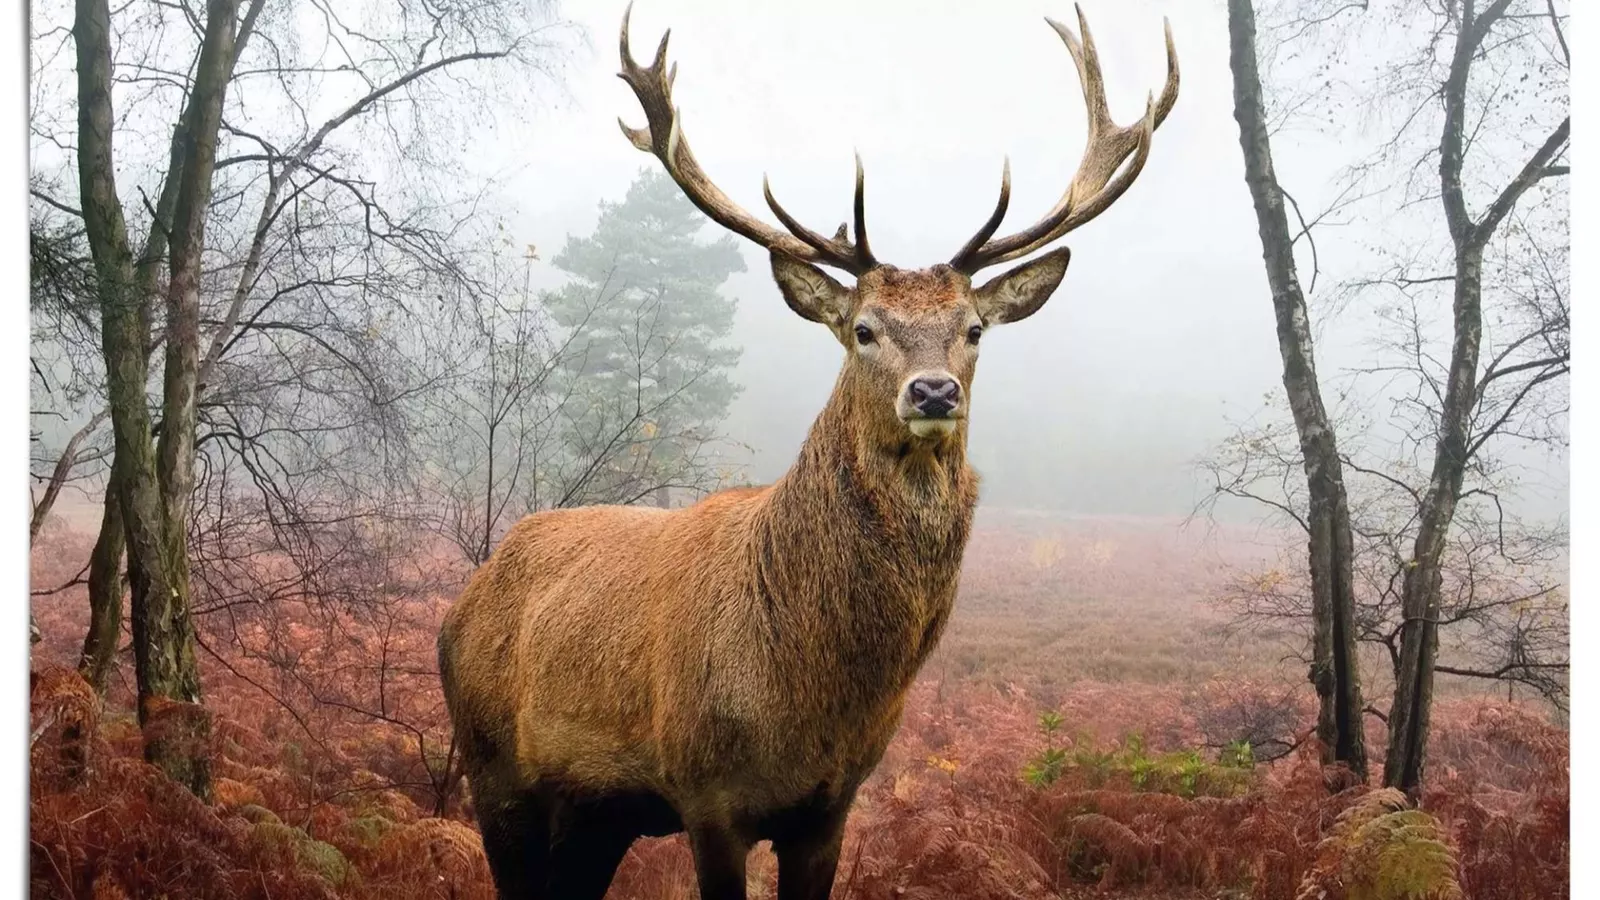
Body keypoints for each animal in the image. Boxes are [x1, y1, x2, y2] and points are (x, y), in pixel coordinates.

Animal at [438, 4, 1178, 898]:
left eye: (973, 329)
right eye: (863, 329)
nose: (934, 393)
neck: (810, 697)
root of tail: (464, 602)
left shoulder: (831, 804)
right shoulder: (707, 793)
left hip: (594, 813)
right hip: (493, 768)